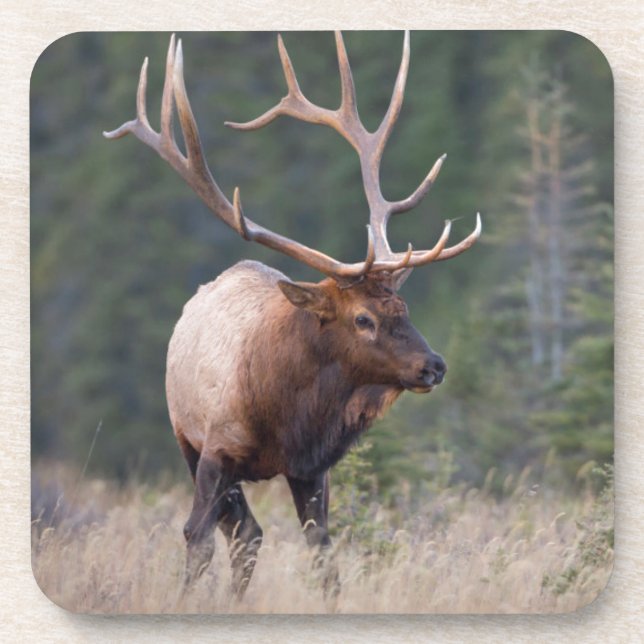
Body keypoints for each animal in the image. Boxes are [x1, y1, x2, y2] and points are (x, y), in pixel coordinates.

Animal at [104, 31, 481, 600]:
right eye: (363, 319)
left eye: (403, 307)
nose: (433, 365)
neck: (286, 415)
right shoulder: (214, 449)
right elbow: (196, 539)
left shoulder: (312, 469)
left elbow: (323, 555)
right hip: (185, 437)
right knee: (239, 532)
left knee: (249, 534)